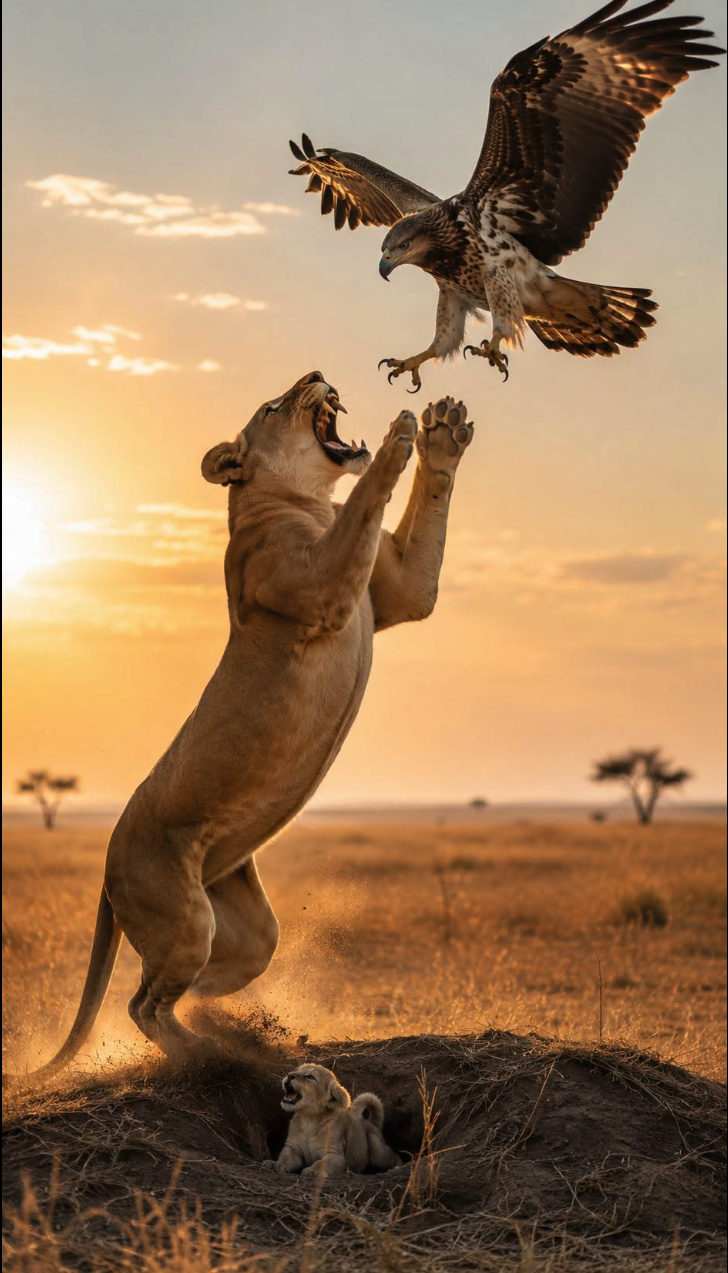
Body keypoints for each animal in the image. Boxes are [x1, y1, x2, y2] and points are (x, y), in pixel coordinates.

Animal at [25, 371, 475, 1076]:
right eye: (272, 407)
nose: (316, 375)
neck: (310, 502)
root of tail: (105, 870)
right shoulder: (318, 586)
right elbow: (366, 498)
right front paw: (398, 438)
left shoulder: (396, 592)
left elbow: (421, 515)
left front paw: (444, 432)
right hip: (183, 916)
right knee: (141, 1004)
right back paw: (212, 1056)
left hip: (245, 927)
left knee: (187, 984)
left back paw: (237, 1027)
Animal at [263, 1063, 401, 1178]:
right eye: (296, 1070)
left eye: (310, 1077)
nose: (289, 1075)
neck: (309, 1119)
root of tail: (372, 1123)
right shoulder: (293, 1148)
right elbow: (285, 1157)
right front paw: (275, 1164)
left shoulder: (335, 1155)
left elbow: (322, 1163)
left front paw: (313, 1171)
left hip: (378, 1150)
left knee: (393, 1156)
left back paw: (397, 1168)